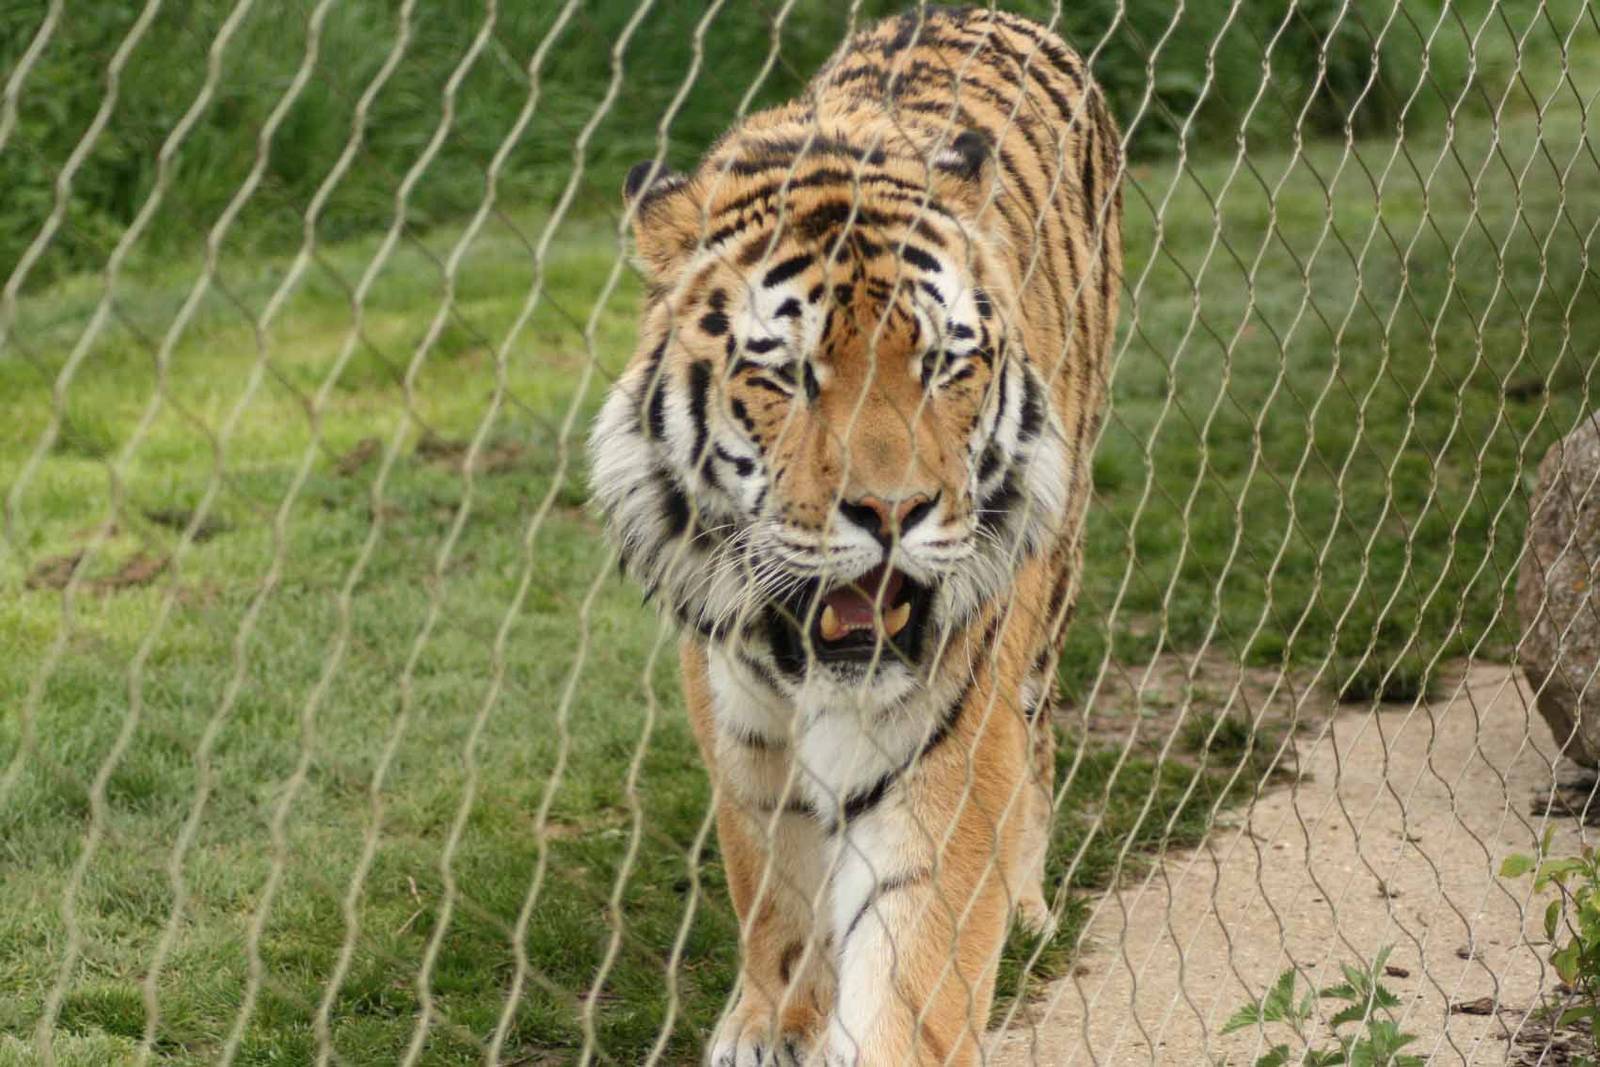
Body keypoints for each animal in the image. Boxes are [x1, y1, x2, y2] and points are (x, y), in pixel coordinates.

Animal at [588, 7, 1122, 1064]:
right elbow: (772, 886)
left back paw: (1031, 904)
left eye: (943, 363)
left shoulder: (949, 741)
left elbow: (910, 961)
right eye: (787, 372)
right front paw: (764, 1023)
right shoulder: (737, 720)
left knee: (1039, 741)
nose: (893, 511)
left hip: (1053, 576)